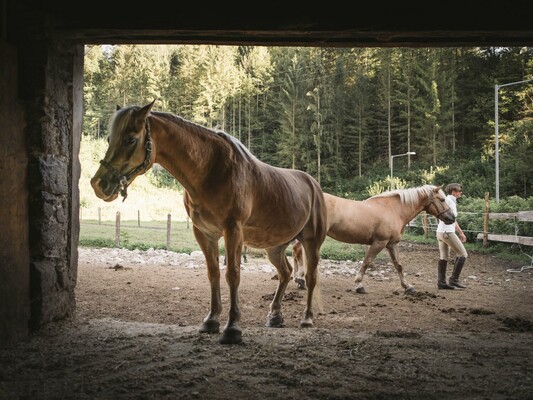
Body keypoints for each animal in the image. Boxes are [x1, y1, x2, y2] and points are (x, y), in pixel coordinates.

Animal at [89, 101, 326, 344]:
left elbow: (233, 274)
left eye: (130, 139)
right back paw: (275, 316)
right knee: (285, 273)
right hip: (274, 247)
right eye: (110, 138)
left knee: (311, 277)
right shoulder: (204, 233)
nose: (99, 184)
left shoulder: (233, 231)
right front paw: (211, 320)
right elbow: (213, 273)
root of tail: (314, 185)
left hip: (311, 243)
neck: (211, 170)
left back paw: (307, 319)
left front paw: (232, 328)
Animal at [290, 187, 454, 294]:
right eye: (442, 199)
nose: (452, 218)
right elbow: (367, 262)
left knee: (296, 252)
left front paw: (408, 286)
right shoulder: (379, 243)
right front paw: (359, 285)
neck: (394, 210)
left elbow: (399, 265)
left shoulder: (391, 244)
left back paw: (300, 280)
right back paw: (300, 279)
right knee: (298, 251)